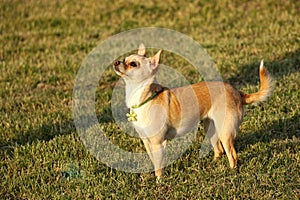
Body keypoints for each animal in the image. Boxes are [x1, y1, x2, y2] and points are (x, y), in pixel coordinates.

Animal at [112, 44, 272, 180]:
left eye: (133, 64)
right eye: (124, 59)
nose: (116, 61)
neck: (144, 98)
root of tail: (237, 92)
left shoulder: (158, 143)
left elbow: (159, 165)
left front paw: (159, 181)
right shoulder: (147, 141)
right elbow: (154, 161)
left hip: (225, 132)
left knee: (232, 154)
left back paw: (232, 172)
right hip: (210, 128)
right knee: (219, 150)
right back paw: (213, 164)